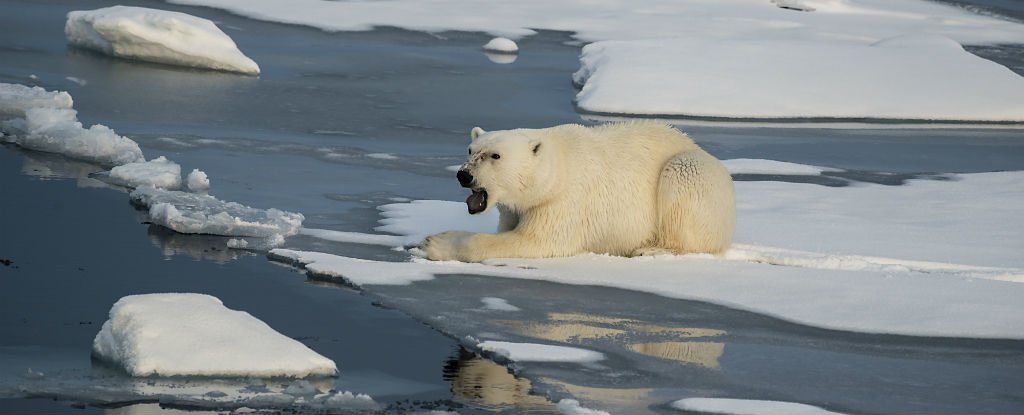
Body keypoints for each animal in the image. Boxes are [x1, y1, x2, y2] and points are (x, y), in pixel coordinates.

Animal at [419, 121, 733, 260]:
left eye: (495, 156)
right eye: (471, 150)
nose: (464, 175)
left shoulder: (562, 203)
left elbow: (533, 241)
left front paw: (434, 243)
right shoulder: (519, 207)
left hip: (691, 172)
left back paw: (652, 248)